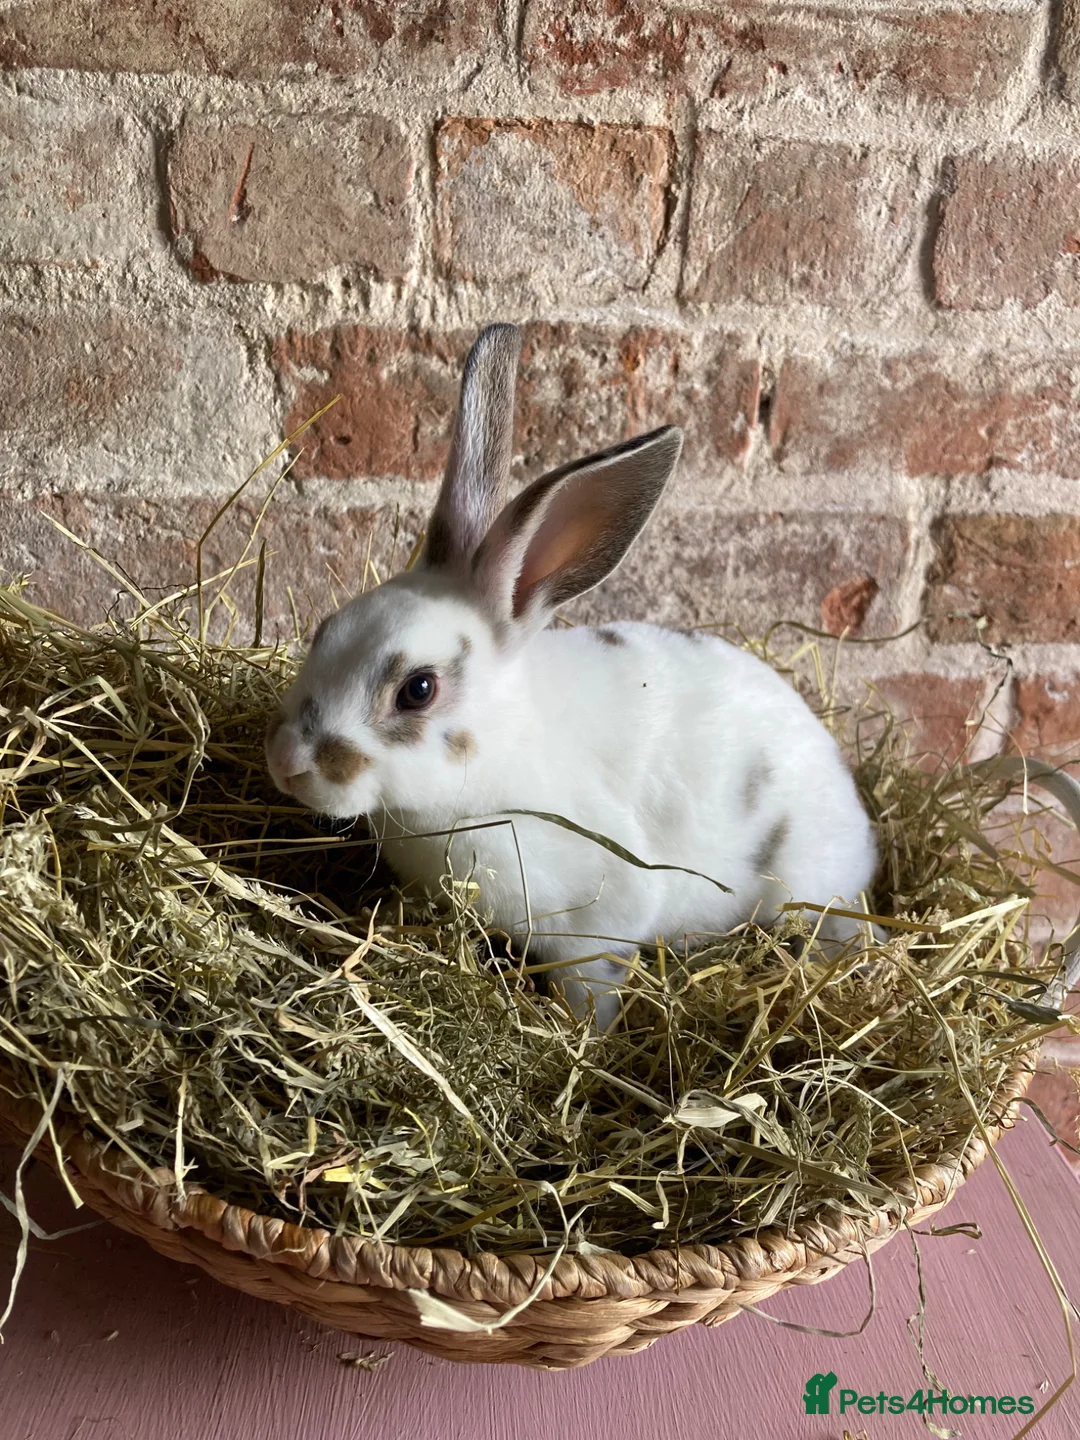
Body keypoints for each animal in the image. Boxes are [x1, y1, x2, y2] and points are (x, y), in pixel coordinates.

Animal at [265, 323, 878, 1030]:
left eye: (417, 689)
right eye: (325, 628)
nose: (288, 761)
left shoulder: (602, 916)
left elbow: (594, 984)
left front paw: (579, 1034)